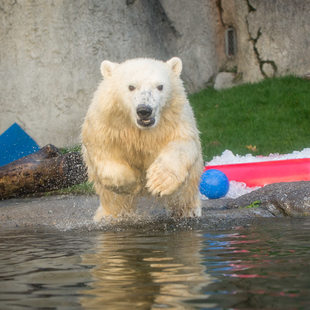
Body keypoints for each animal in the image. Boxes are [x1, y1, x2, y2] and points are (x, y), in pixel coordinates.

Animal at [81, 57, 203, 222]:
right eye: (131, 86)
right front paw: (132, 184)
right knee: (113, 199)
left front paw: (159, 182)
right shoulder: (107, 121)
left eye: (160, 86)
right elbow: (103, 148)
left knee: (185, 191)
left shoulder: (174, 119)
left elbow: (181, 143)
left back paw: (188, 210)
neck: (140, 128)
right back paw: (109, 216)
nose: (144, 110)